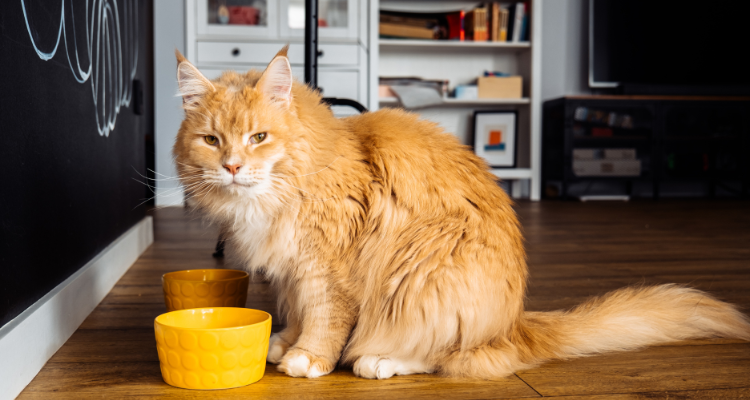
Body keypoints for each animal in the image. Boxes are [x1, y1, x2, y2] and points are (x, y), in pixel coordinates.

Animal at [172, 48, 750, 380]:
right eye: (212, 140)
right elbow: (294, 311)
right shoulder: (291, 271)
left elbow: (325, 320)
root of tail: (515, 324)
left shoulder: (326, 271)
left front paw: (309, 358)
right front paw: (284, 342)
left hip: (424, 272)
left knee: (448, 356)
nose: (232, 166)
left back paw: (378, 362)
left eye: (258, 138)